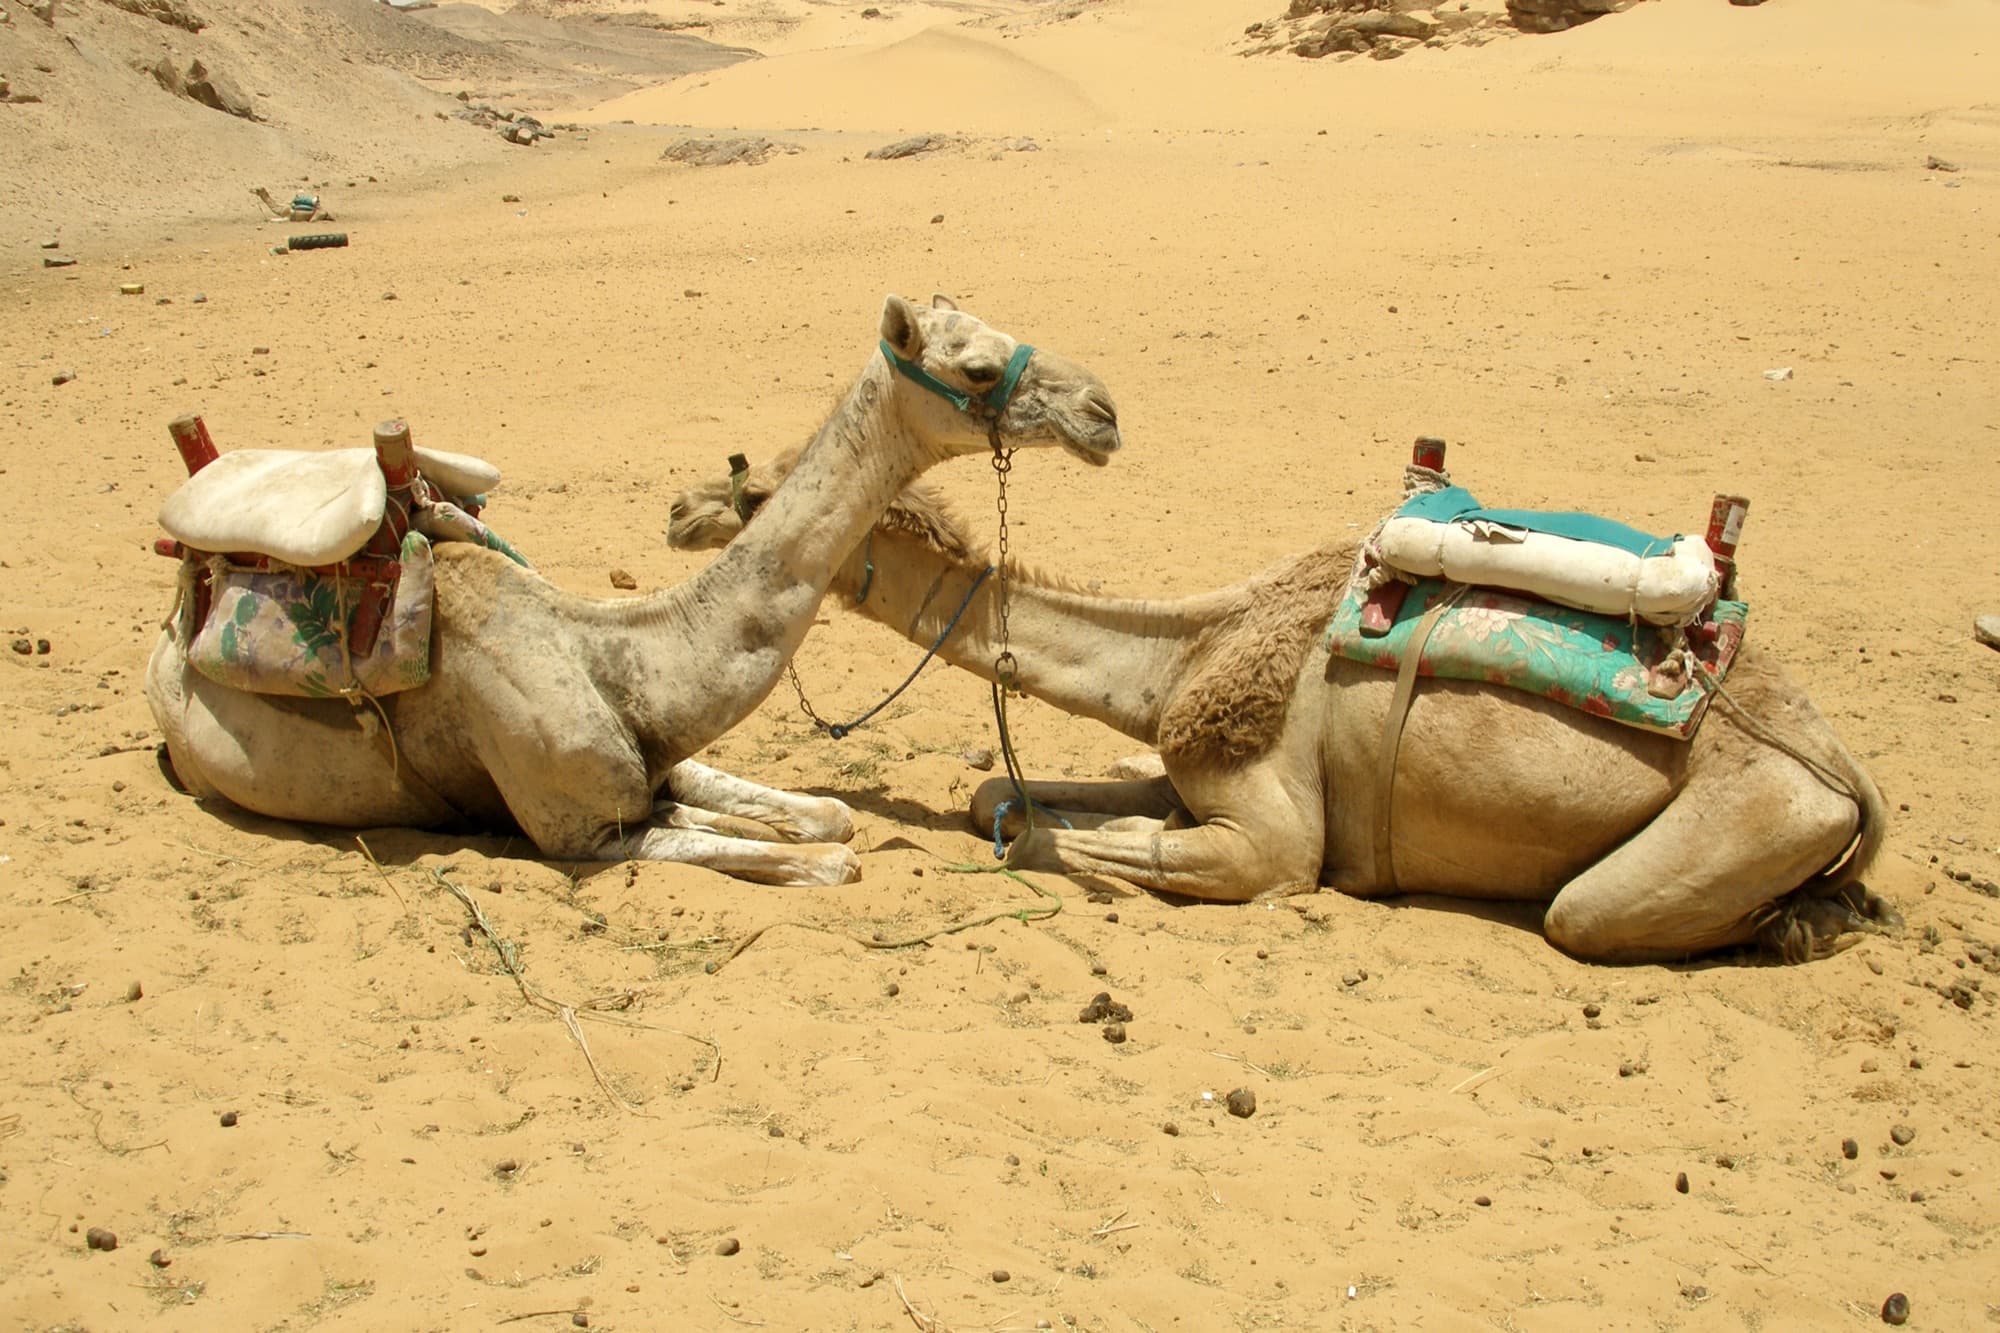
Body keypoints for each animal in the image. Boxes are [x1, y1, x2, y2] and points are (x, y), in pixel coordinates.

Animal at [145, 296, 1122, 885]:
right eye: (977, 368)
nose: (1103, 410)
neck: (616, 650)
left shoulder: (661, 758)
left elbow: (830, 816)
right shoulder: (579, 832)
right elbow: (826, 860)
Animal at [668, 456, 1892, 961]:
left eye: (756, 491)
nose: (678, 509)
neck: (1196, 646)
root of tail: (1841, 765)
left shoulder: (1273, 832)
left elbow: (1164, 853)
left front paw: (1071, 841)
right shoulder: (1183, 754)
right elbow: (994, 799)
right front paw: (1038, 812)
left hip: (1752, 815)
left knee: (1590, 914)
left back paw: (1805, 922)